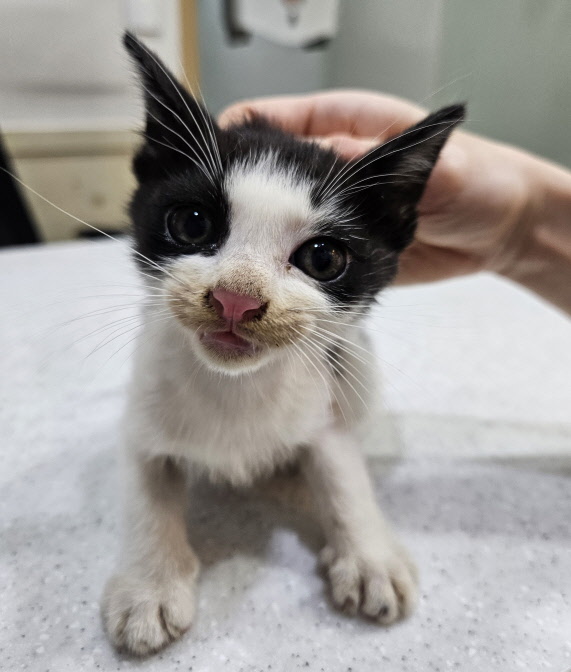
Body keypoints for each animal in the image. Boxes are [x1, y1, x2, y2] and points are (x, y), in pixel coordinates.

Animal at [103, 32, 466, 656]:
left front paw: (369, 557)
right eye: (192, 224)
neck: (234, 389)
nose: (236, 299)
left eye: (322, 258)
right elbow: (146, 489)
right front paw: (147, 587)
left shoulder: (322, 402)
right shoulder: (142, 412)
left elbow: (341, 468)